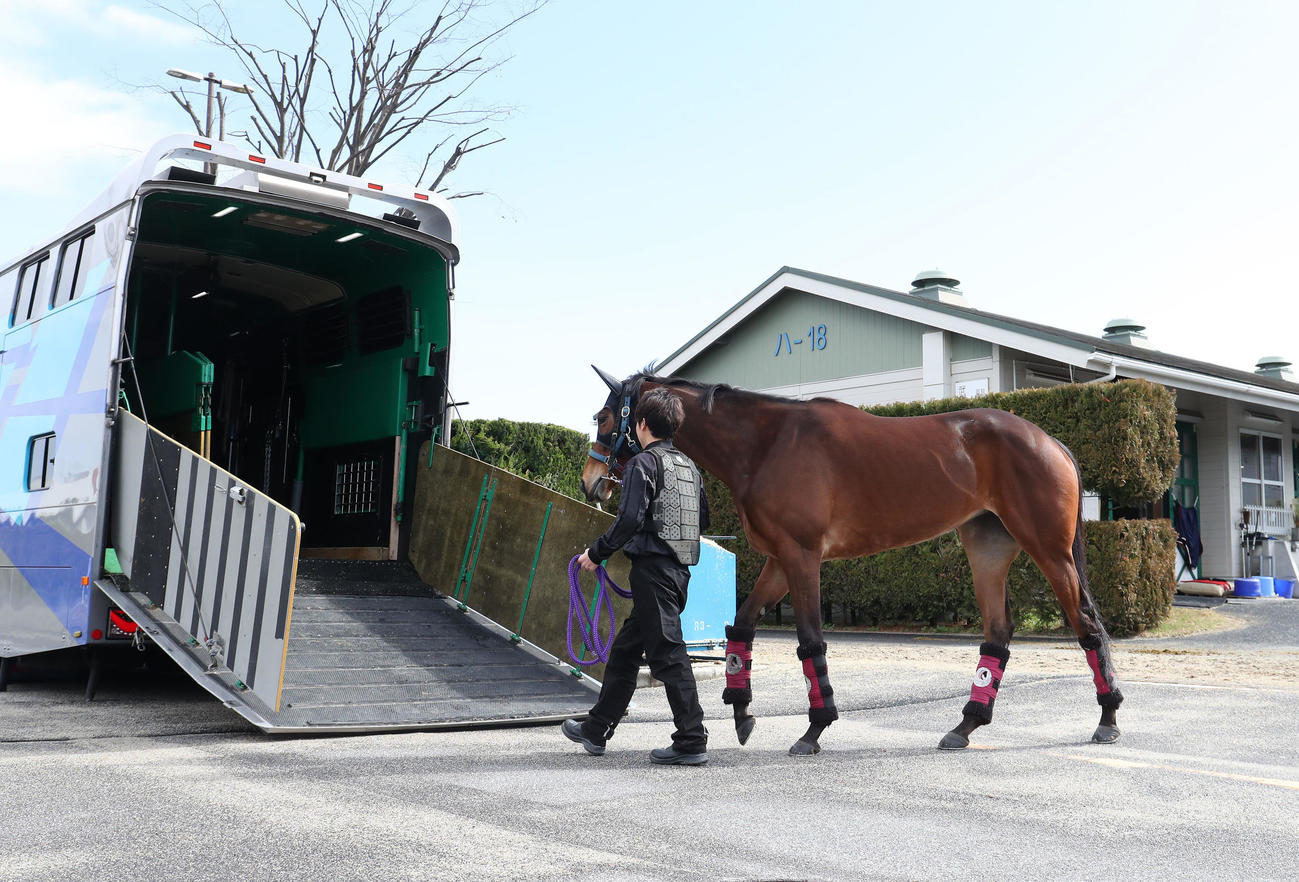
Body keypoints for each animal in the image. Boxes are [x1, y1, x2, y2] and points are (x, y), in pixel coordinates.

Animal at [580, 367, 1123, 756]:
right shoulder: (780, 559)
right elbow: (742, 626)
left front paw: (814, 728)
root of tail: (1051, 442)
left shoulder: (802, 558)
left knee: (1088, 625)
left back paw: (1108, 719)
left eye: (604, 419)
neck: (768, 443)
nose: (590, 482)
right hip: (987, 549)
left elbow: (810, 642)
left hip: (1049, 551)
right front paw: (740, 711)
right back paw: (965, 725)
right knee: (998, 632)